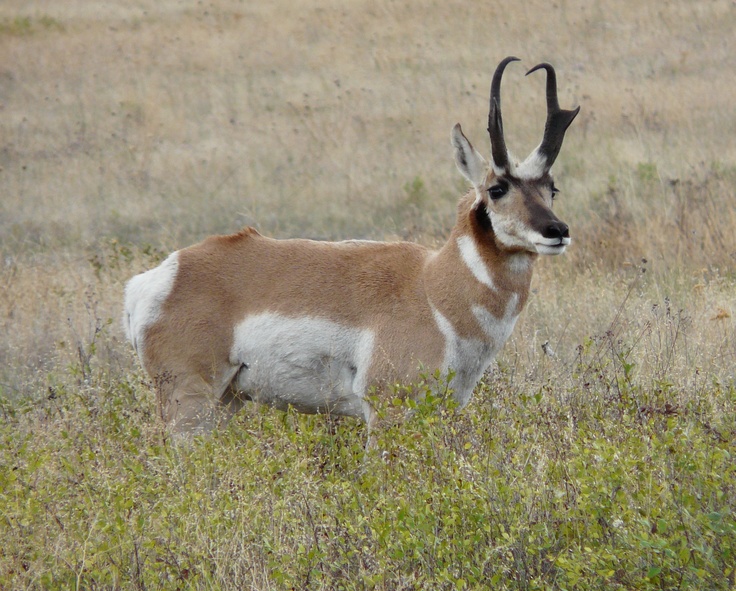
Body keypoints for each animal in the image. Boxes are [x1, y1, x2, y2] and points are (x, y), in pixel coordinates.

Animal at [122, 57, 580, 442]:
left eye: (551, 188)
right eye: (497, 188)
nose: (557, 231)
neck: (433, 290)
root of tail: (160, 275)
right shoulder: (387, 410)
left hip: (226, 400)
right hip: (190, 403)